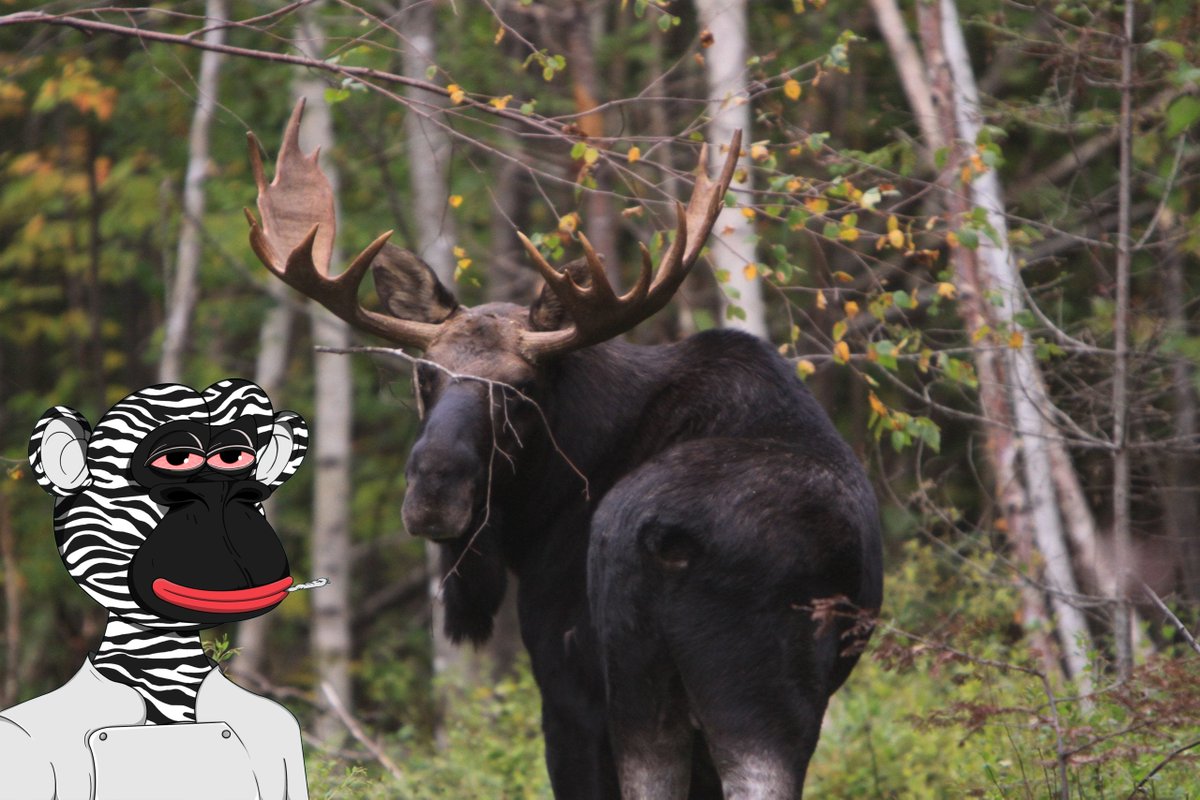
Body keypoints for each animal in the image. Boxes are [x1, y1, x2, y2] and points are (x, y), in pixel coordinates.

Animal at [244, 99, 883, 800]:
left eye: (522, 389)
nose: (434, 489)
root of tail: (670, 533)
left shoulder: (563, 671)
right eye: (424, 374)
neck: (540, 512)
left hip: (712, 685)